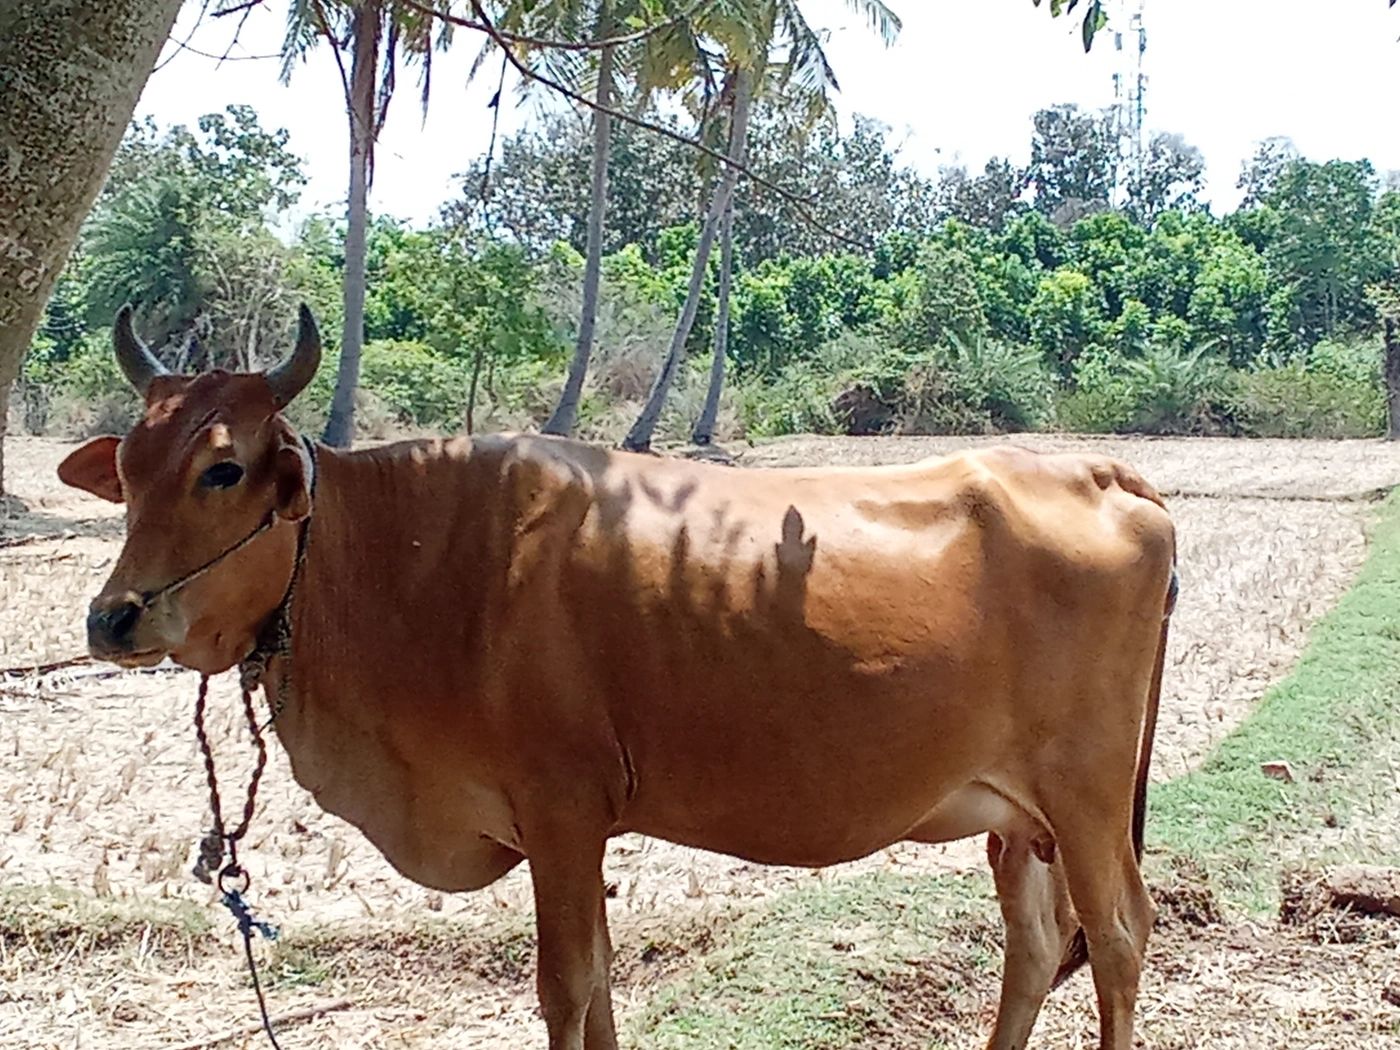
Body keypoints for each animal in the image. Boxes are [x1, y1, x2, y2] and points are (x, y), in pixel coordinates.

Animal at [58, 305, 1178, 1050]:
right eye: (130, 472)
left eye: (223, 468)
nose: (114, 618)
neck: (408, 554)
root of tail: (1094, 471)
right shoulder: (578, 830)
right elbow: (595, 984)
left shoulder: (560, 813)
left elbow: (566, 986)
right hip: (1018, 818)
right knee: (1038, 943)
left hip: (1083, 797)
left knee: (1120, 938)